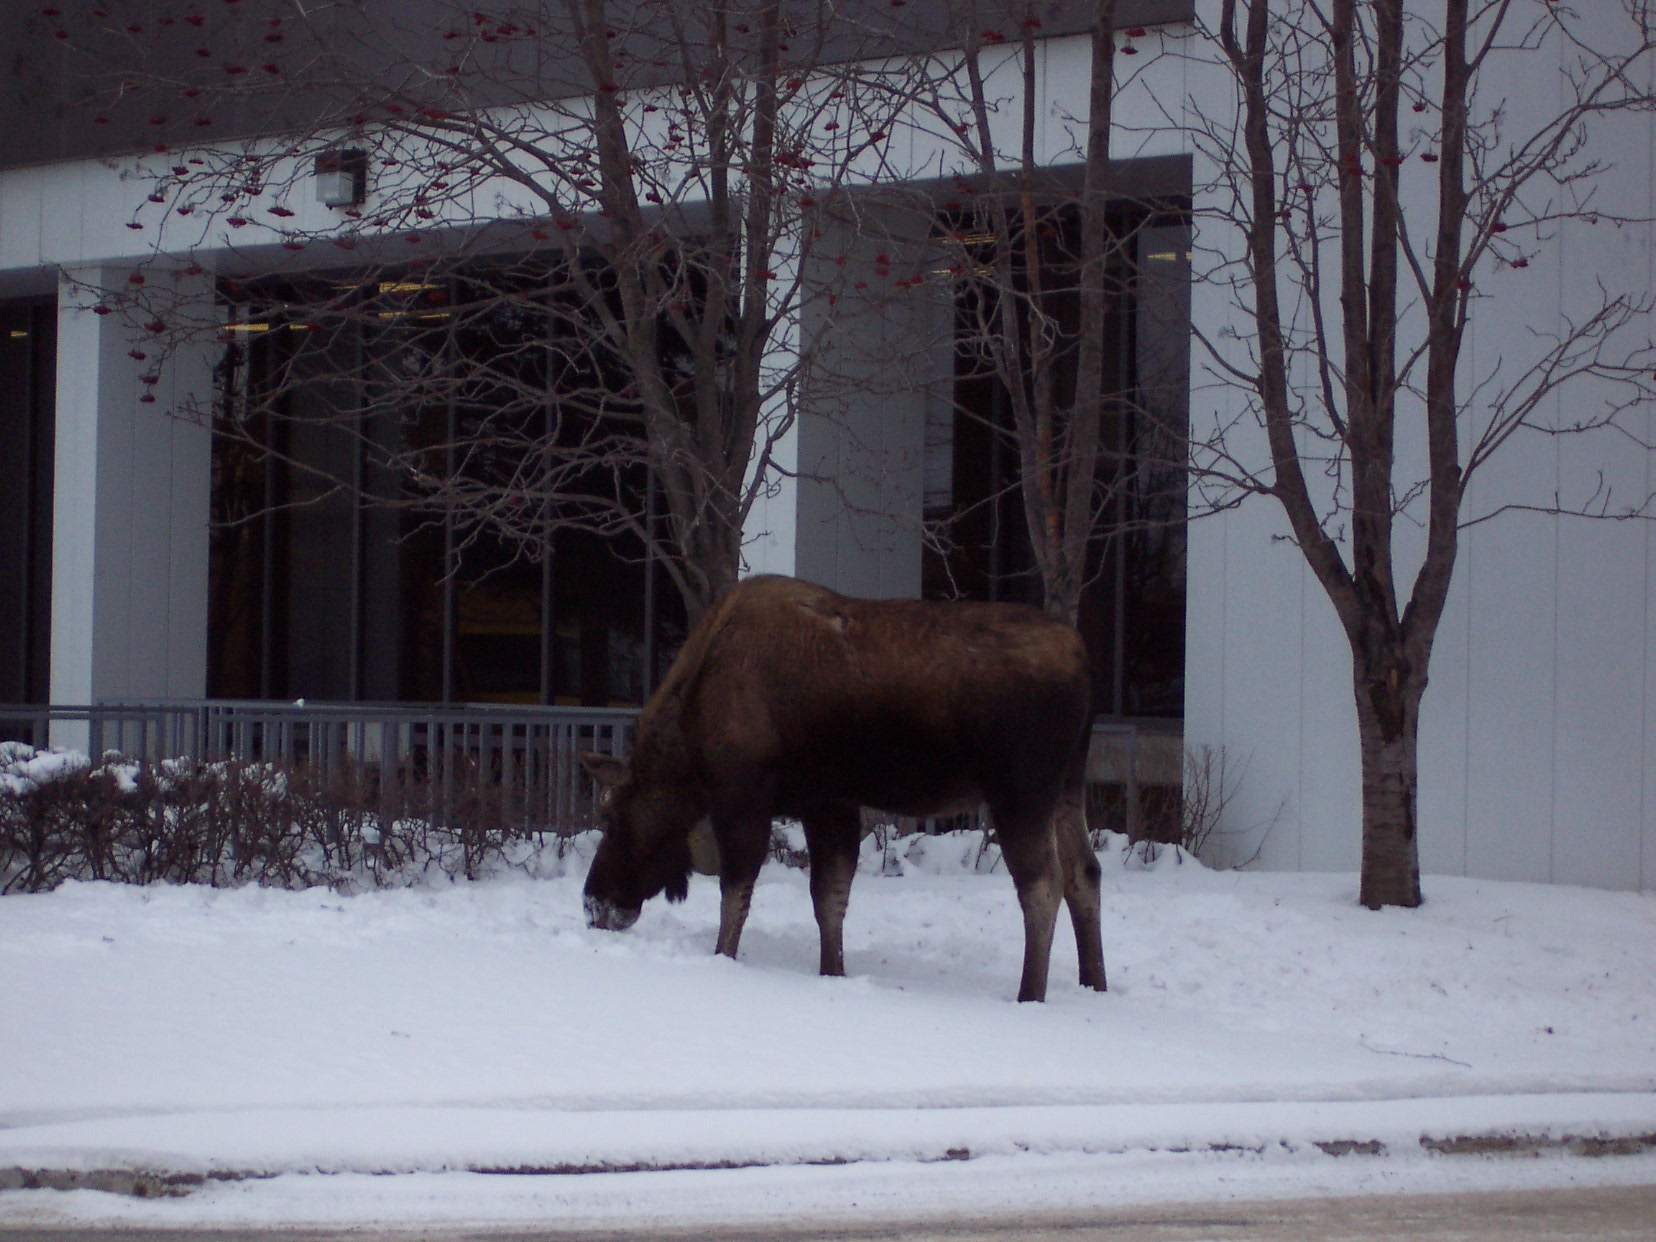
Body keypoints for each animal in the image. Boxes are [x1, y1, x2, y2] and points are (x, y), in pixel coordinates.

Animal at [576, 572, 1106, 1000]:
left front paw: (723, 958)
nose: (593, 902)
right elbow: (828, 897)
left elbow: (737, 893)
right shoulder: (828, 801)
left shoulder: (743, 799)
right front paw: (833, 972)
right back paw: (1094, 984)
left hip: (1021, 790)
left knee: (1043, 884)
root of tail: (1086, 660)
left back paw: (1030, 994)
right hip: (1067, 784)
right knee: (1085, 871)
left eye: (611, 816)